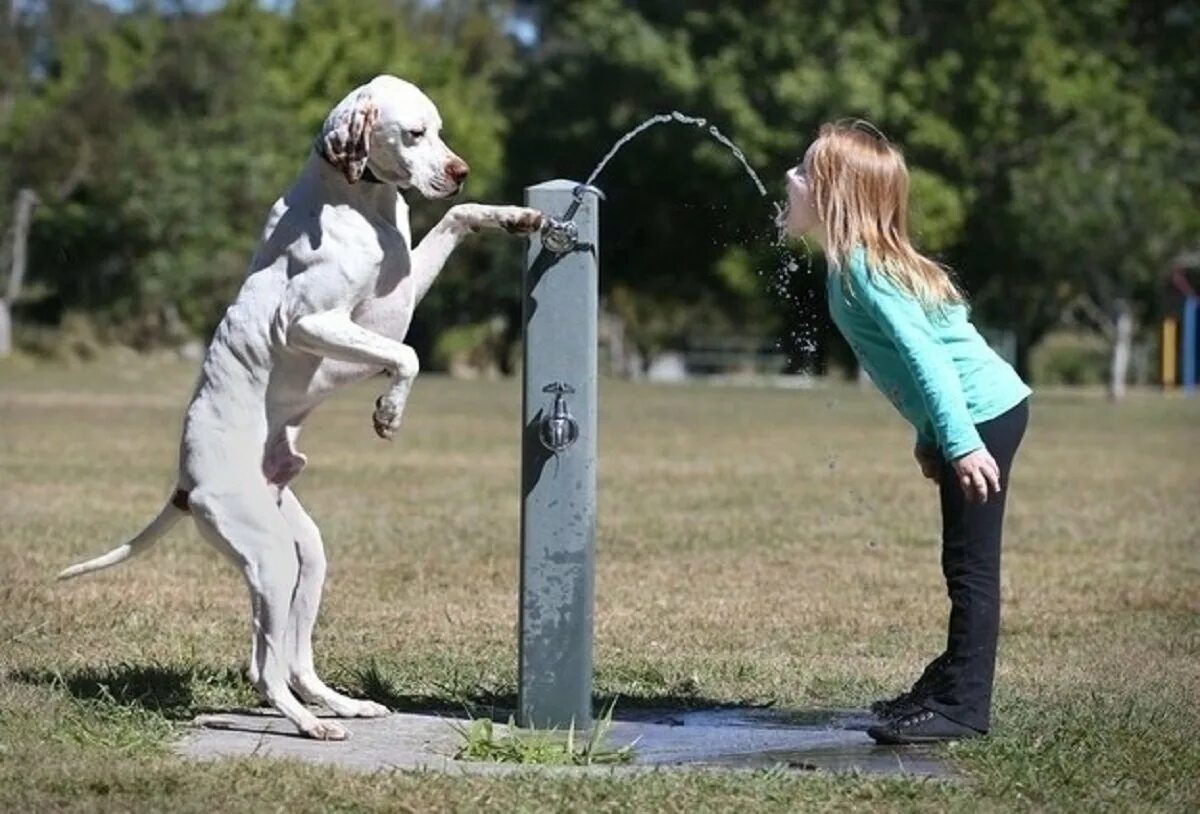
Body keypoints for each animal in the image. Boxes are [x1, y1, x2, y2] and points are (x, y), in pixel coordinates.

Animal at [57, 73, 544, 744]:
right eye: (414, 133)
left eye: (440, 131)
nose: (460, 170)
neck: (358, 201)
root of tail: (185, 483)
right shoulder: (313, 322)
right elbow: (409, 355)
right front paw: (389, 411)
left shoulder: (401, 290)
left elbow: (455, 218)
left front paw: (514, 216)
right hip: (270, 560)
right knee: (264, 668)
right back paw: (311, 725)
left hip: (305, 557)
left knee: (293, 659)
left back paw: (341, 706)